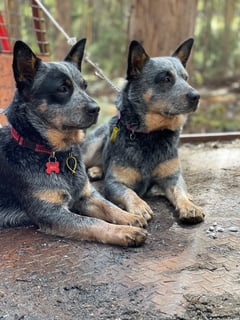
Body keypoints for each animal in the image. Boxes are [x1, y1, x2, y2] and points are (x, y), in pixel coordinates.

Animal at [0, 38, 148, 248]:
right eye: (63, 88)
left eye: (84, 85)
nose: (96, 108)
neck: (55, 152)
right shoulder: (50, 212)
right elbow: (93, 222)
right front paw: (124, 231)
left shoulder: (87, 195)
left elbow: (109, 206)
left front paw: (128, 217)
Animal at [82, 38, 204, 225]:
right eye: (166, 78)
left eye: (186, 78)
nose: (197, 96)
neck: (151, 136)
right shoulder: (115, 183)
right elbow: (129, 192)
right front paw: (139, 206)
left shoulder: (173, 177)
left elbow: (180, 192)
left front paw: (189, 206)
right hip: (93, 145)